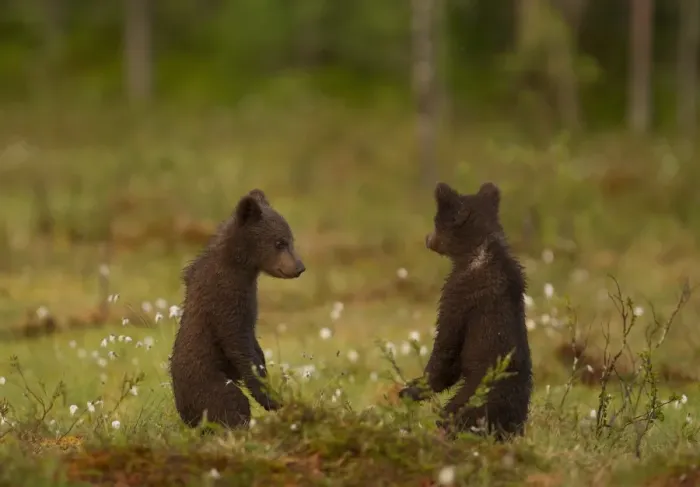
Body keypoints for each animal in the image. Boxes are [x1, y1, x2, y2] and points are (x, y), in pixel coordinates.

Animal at [170, 188, 306, 430]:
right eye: (279, 242)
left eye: (291, 240)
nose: (299, 267)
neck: (240, 265)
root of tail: (186, 417)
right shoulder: (226, 299)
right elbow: (238, 345)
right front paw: (271, 398)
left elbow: (252, 343)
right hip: (208, 382)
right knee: (230, 401)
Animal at [398, 181, 533, 442]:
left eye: (436, 220)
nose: (427, 238)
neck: (477, 251)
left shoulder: (460, 295)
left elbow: (447, 351)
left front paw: (411, 389)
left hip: (475, 397)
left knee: (454, 414)